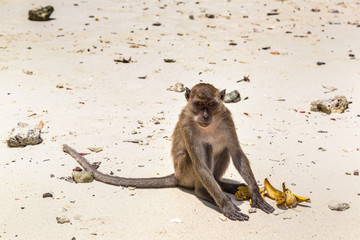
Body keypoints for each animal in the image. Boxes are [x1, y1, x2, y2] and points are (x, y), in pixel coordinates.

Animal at [62, 83, 276, 221]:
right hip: (186, 172)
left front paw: (256, 194)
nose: (205, 115)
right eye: (199, 105)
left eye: (211, 105)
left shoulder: (226, 117)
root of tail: (177, 176)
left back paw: (222, 184)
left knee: (222, 148)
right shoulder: (188, 126)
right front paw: (226, 205)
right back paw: (205, 193)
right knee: (205, 151)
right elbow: (200, 164)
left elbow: (237, 153)